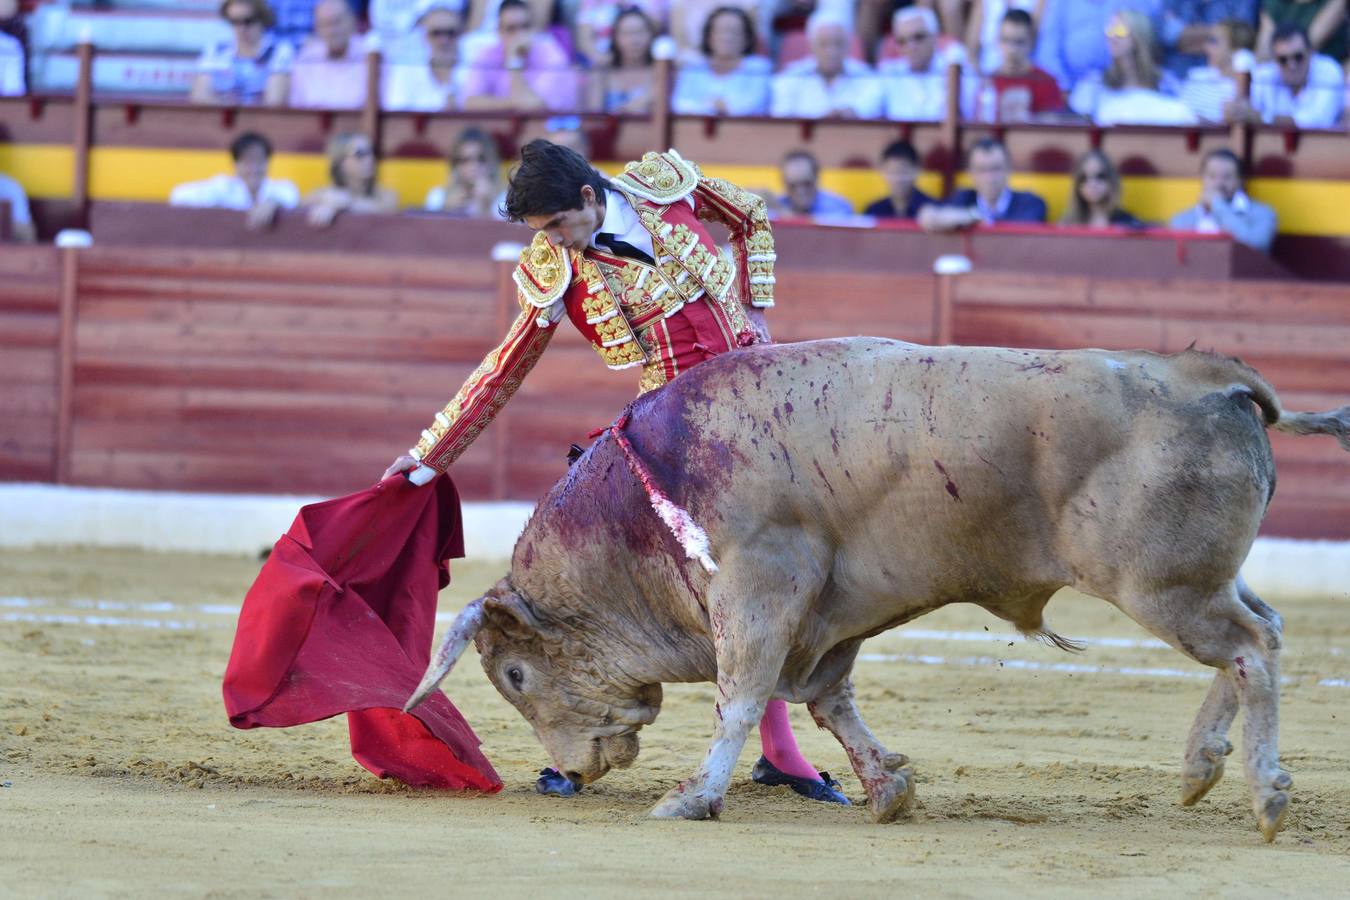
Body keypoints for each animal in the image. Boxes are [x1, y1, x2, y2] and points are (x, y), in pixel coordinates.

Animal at [405, 334, 1344, 841]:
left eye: (515, 675)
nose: (573, 769)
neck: (645, 500)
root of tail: (1212, 376)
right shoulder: (833, 613)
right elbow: (829, 700)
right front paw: (887, 788)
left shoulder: (759, 588)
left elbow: (740, 696)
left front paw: (692, 798)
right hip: (1202, 580)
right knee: (1259, 635)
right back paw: (1200, 769)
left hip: (1164, 586)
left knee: (1250, 648)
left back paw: (1264, 793)